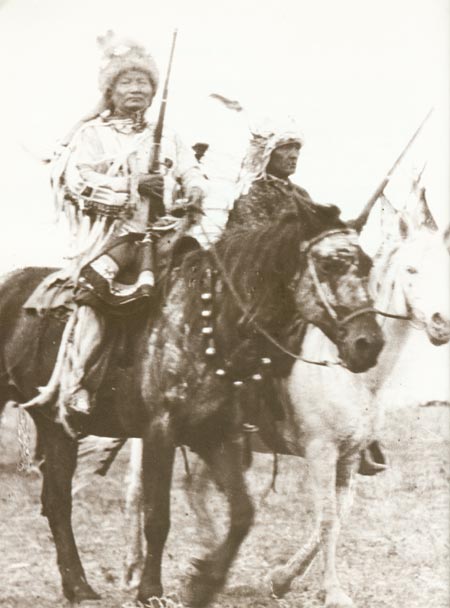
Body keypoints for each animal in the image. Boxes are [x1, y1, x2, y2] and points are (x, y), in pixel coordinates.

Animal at [0, 214, 384, 604]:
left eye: (368, 265)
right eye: (329, 264)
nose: (368, 344)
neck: (208, 326)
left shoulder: (216, 435)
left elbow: (243, 513)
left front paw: (203, 582)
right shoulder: (161, 432)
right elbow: (158, 517)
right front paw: (150, 590)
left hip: (56, 428)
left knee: (57, 501)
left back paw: (78, 585)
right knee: (62, 502)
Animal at [86, 188, 448, 604]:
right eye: (412, 271)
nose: (441, 323)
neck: (354, 378)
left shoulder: (350, 454)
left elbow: (338, 514)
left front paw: (281, 578)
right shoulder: (321, 450)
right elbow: (327, 517)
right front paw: (329, 590)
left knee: (196, 490)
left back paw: (207, 558)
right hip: (155, 435)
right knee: (137, 493)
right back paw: (135, 572)